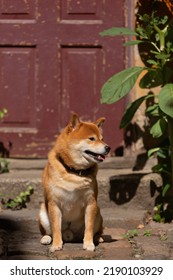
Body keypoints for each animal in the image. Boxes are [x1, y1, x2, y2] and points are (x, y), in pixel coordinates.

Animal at [38, 112, 110, 253]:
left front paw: (88, 244)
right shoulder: (54, 203)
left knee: (96, 230)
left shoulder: (91, 202)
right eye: (92, 139)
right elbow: (56, 228)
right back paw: (46, 238)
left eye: (102, 138)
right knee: (49, 232)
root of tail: (69, 234)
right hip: (43, 211)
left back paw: (98, 238)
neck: (74, 172)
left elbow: (89, 227)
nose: (108, 147)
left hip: (98, 213)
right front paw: (56, 245)